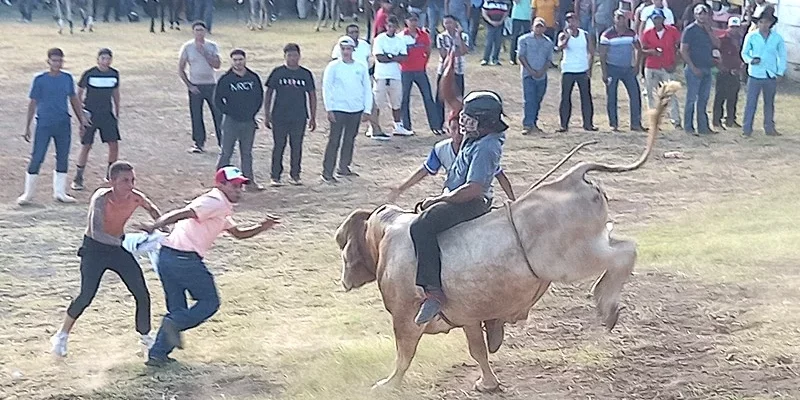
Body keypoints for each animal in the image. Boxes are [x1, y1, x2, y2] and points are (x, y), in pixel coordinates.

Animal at [334, 83, 684, 392]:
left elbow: (404, 355)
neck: (383, 236)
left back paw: (606, 303)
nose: (344, 281)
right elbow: (478, 349)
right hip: (589, 246)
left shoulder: (405, 318)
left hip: (576, 258)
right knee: (623, 248)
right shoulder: (470, 316)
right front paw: (487, 383)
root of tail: (572, 177)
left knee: (625, 253)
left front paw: (387, 384)